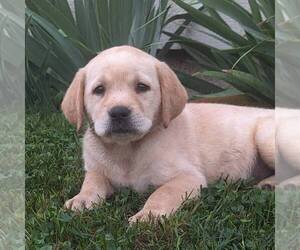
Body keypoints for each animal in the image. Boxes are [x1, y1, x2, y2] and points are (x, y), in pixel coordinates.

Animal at [61, 45, 274, 223]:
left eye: (141, 87)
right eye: (99, 90)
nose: (119, 112)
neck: (127, 149)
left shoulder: (188, 177)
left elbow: (163, 192)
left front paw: (148, 214)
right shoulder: (95, 168)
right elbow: (92, 182)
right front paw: (81, 199)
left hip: (265, 137)